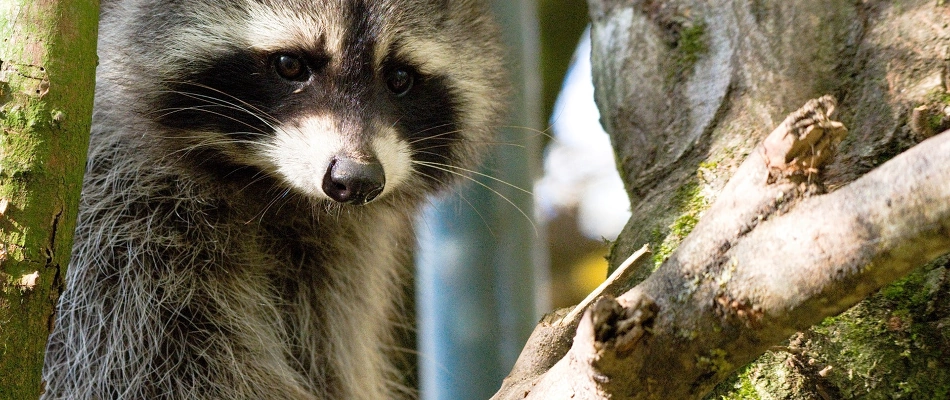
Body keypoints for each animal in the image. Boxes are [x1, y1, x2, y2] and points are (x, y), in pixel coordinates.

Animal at [40, 1, 506, 398]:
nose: (356, 179)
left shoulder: (336, 263)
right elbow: (141, 368)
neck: (263, 188)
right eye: (290, 64)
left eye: (399, 79)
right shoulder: (117, 219)